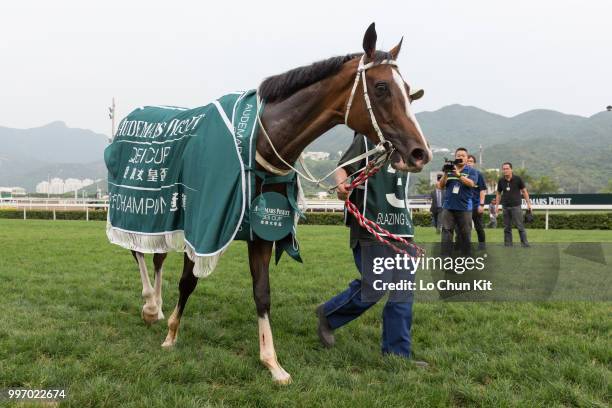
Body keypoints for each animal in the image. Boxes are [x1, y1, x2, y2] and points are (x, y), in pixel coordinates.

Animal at [129, 23, 430, 384]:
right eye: (382, 87)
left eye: (409, 90)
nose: (420, 152)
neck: (257, 144)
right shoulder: (203, 224)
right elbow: (189, 281)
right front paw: (172, 335)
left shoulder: (262, 228)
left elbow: (262, 292)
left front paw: (272, 362)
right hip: (143, 208)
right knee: (140, 251)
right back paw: (151, 305)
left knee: (157, 255)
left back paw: (155, 307)